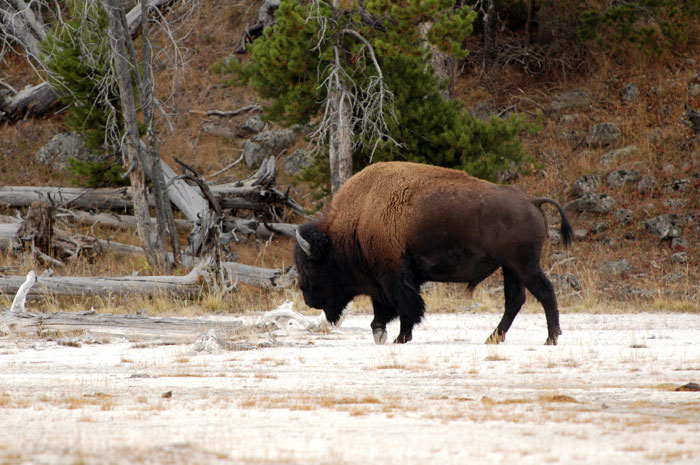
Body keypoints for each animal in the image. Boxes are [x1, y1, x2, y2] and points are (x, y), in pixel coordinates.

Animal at [296, 161, 576, 342]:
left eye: (310, 266)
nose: (307, 298)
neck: (361, 215)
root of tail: (531, 200)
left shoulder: (394, 275)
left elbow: (407, 307)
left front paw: (400, 337)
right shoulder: (382, 278)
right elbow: (385, 308)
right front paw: (381, 333)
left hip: (524, 265)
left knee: (544, 291)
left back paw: (551, 338)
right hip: (511, 268)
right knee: (515, 299)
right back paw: (493, 338)